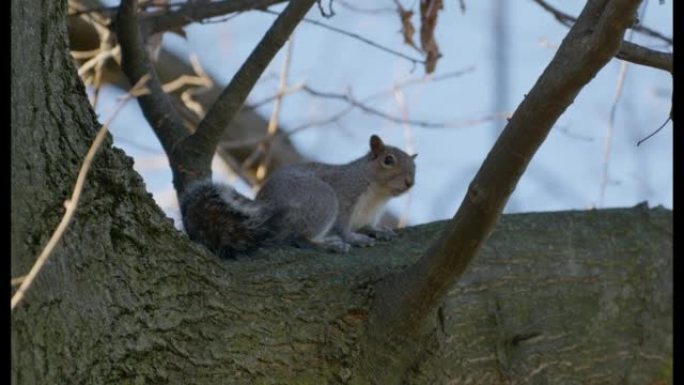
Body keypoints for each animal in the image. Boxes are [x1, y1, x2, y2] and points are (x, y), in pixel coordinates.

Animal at [179, 135, 414, 258]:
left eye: (415, 167)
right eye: (388, 160)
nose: (409, 182)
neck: (378, 196)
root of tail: (268, 208)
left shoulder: (368, 215)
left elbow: (367, 226)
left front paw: (379, 231)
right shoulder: (345, 195)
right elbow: (342, 228)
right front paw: (353, 238)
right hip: (323, 200)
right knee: (298, 238)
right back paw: (328, 244)